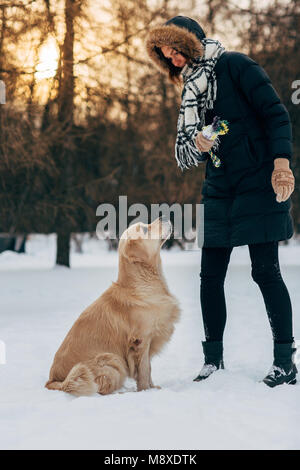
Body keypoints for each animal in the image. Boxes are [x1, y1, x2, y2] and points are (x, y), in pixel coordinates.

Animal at [45, 218, 180, 396]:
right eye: (145, 229)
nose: (163, 216)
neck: (142, 282)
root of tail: (53, 381)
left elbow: (148, 368)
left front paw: (153, 387)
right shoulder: (141, 340)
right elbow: (144, 370)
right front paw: (145, 391)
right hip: (112, 360)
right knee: (99, 389)